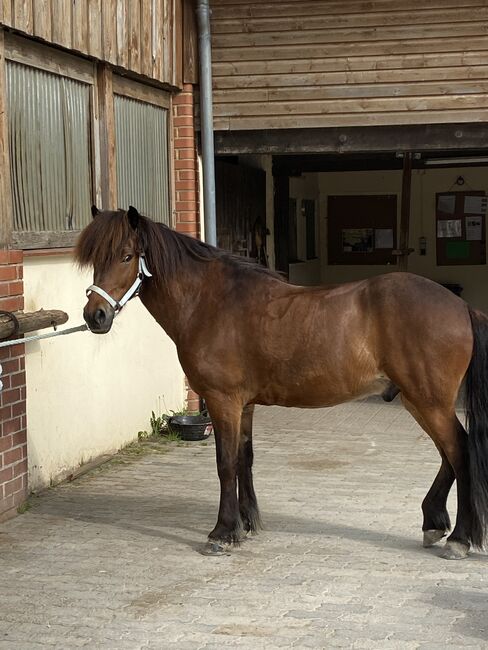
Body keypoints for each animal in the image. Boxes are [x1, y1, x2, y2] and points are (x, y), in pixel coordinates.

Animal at [75, 206, 488, 556]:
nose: (95, 316)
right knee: (449, 455)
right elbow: (245, 459)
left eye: (126, 256)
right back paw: (435, 523)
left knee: (460, 452)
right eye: (96, 260)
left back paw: (459, 539)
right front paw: (246, 523)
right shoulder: (244, 405)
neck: (212, 303)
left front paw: (222, 533)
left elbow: (225, 463)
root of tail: (460, 306)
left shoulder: (223, 401)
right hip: (417, 400)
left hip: (429, 401)